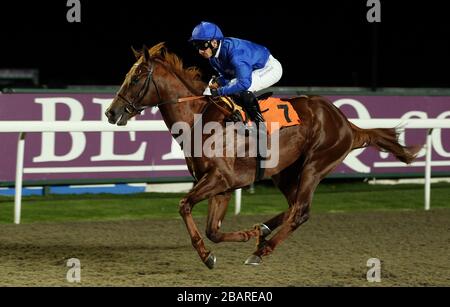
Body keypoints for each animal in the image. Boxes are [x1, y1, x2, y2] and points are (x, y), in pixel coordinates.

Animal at [103, 43, 420, 270]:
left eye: (136, 78)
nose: (110, 112)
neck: (199, 119)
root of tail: (346, 124)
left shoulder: (219, 179)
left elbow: (184, 206)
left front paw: (208, 255)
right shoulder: (223, 186)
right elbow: (213, 230)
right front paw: (247, 234)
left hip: (315, 165)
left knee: (301, 211)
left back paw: (263, 249)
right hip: (284, 171)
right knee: (294, 207)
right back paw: (263, 232)